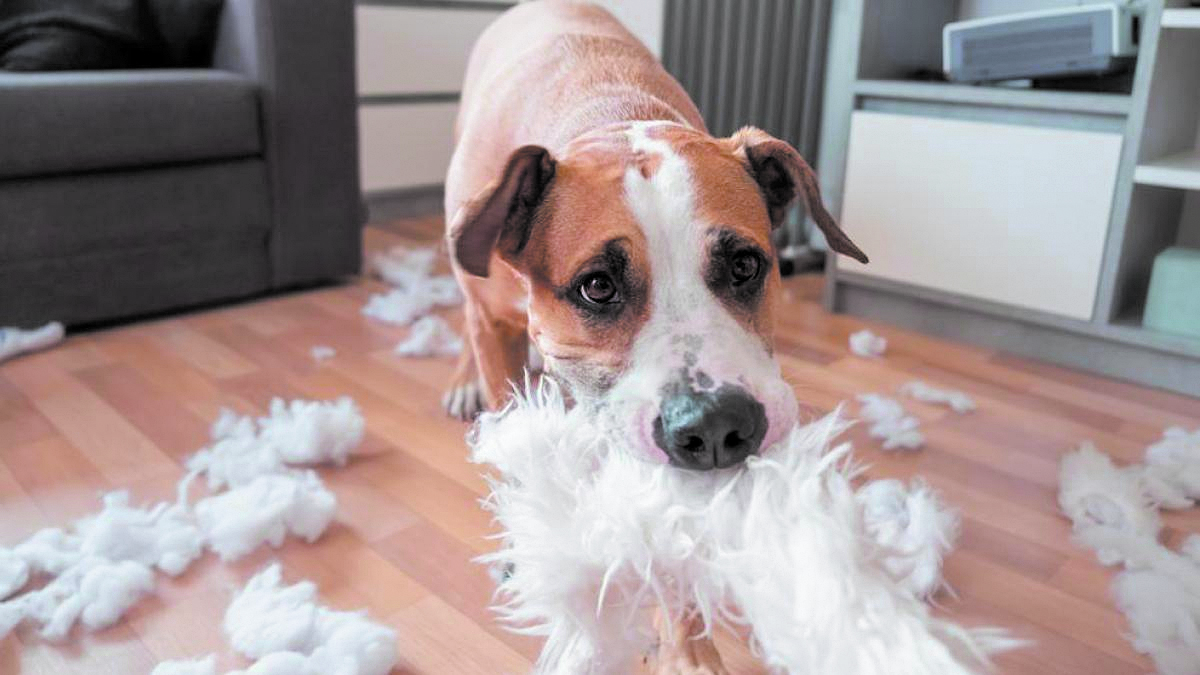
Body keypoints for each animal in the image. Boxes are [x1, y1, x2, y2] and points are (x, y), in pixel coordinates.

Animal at [441, 1, 864, 667]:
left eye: (746, 265)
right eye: (597, 287)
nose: (716, 426)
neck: (609, 117)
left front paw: (690, 652)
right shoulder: (498, 333)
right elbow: (512, 449)